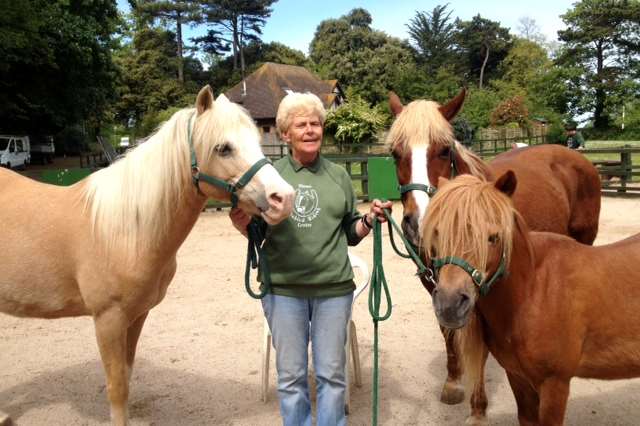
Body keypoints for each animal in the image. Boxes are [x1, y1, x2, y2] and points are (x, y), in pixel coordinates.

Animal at [0, 86, 296, 426]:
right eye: (223, 148)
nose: (284, 198)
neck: (126, 230)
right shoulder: (108, 319)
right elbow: (117, 388)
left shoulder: (137, 315)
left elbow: (127, 377)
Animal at [388, 90, 604, 422]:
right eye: (396, 154)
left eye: (444, 151)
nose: (419, 222)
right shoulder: (439, 286)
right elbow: (448, 332)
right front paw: (453, 383)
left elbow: (479, 347)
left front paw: (478, 409)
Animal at [424, 173, 640, 426]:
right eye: (437, 233)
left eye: (493, 237)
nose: (449, 305)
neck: (533, 292)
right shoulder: (518, 378)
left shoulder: (554, 385)